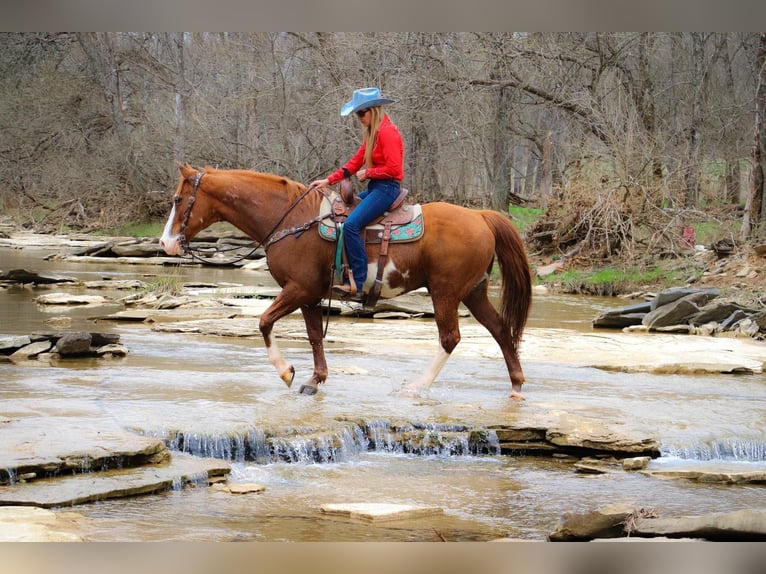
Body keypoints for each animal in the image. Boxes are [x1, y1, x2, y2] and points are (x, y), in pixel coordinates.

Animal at [162, 163, 536, 400]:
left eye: (178, 200)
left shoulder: (298, 289)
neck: (292, 220)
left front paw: (286, 372)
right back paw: (516, 386)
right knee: (500, 329)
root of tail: (481, 217)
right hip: (474, 292)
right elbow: (315, 337)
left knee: (450, 338)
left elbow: (265, 321)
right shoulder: (310, 296)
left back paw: (416, 387)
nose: (166, 243)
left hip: (445, 292)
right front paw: (315, 380)